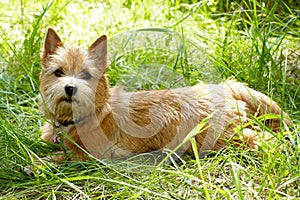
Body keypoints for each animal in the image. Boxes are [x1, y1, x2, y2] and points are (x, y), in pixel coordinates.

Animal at [38, 27, 290, 161]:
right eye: (58, 72)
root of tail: (223, 86)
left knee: (260, 139)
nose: (70, 88)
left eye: (86, 75)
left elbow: (59, 158)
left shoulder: (90, 156)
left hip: (223, 138)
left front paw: (38, 164)